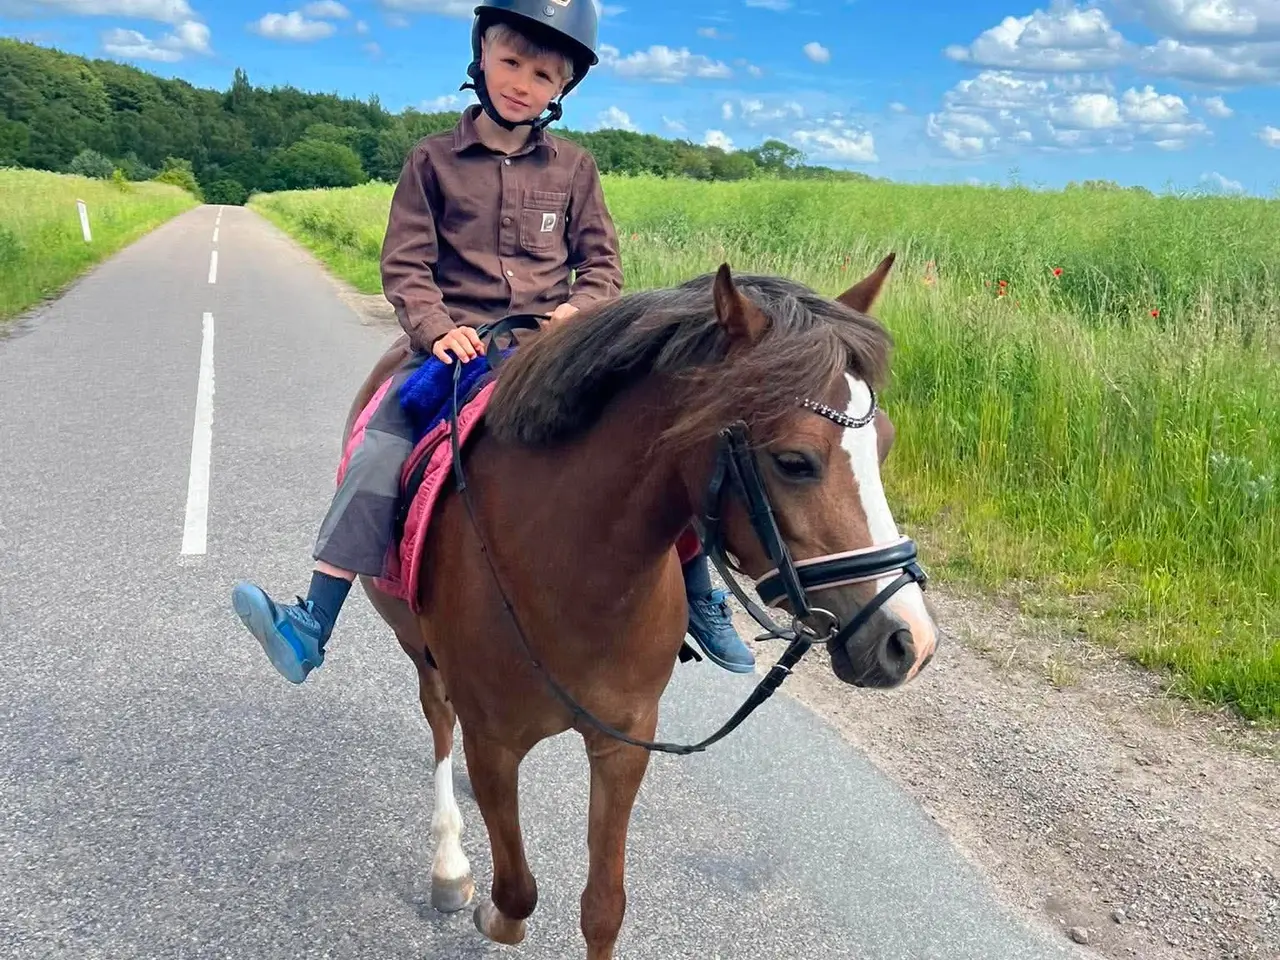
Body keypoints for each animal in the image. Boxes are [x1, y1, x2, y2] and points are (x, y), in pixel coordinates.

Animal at [348, 254, 938, 959]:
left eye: (886, 445)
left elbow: (603, 908)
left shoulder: (624, 743)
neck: (572, 573)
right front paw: (490, 912)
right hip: (421, 653)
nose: (908, 641)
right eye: (795, 461)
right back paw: (449, 866)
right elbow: (516, 893)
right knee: (440, 722)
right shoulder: (493, 742)